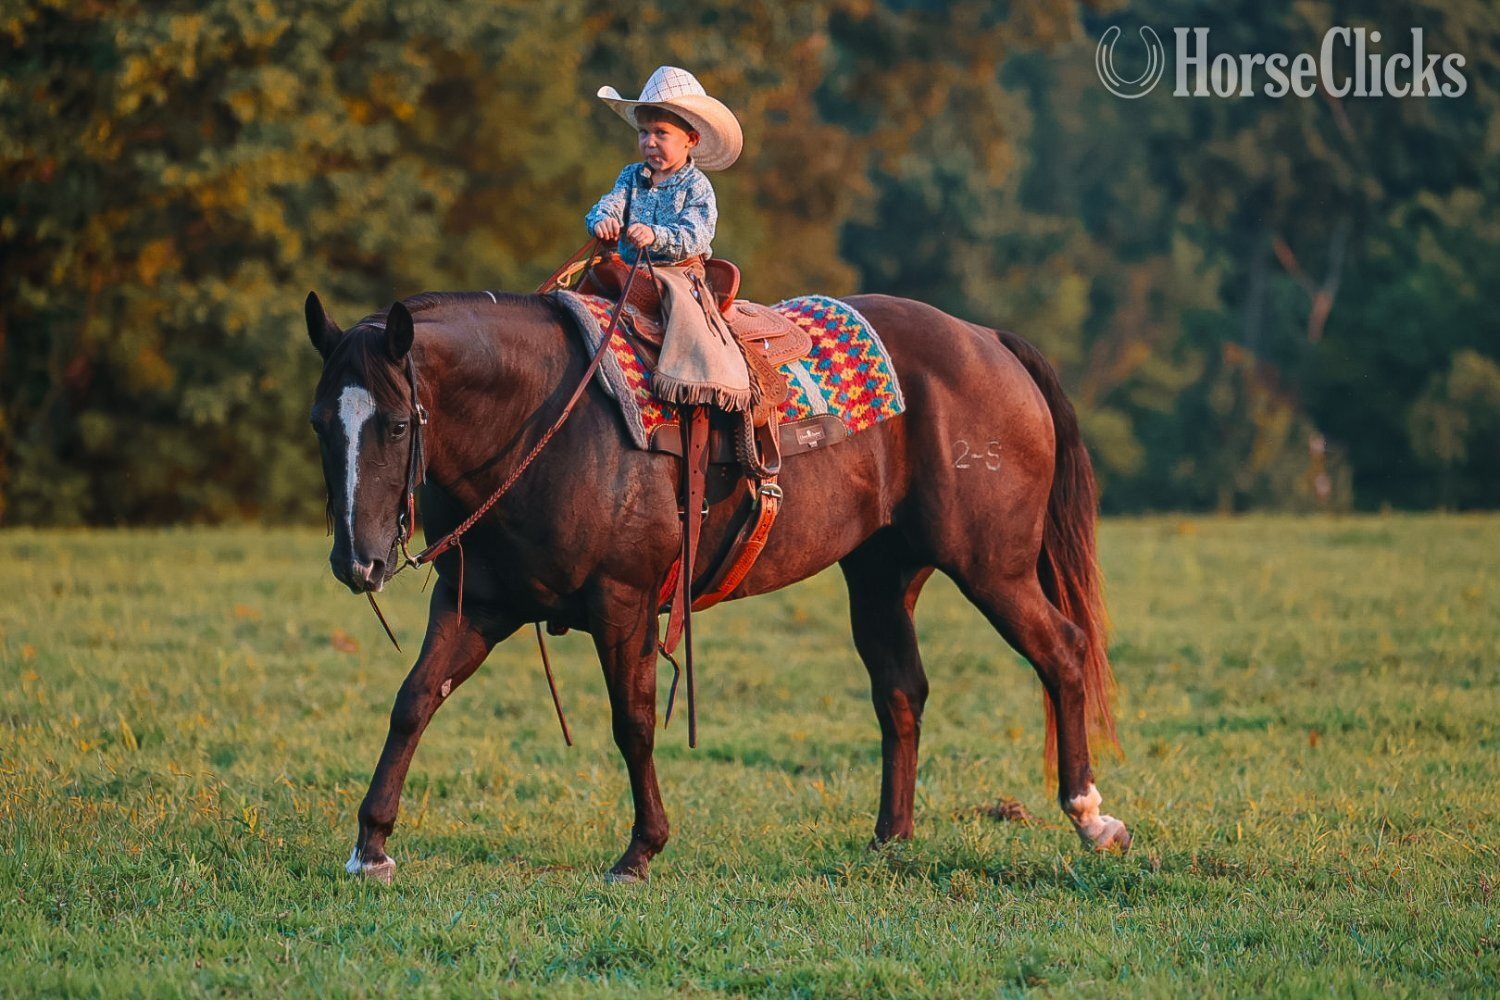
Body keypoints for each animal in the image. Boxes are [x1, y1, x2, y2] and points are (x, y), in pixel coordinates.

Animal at [305, 288, 1130, 882]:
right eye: (321, 423)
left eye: (397, 425)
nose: (357, 562)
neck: (541, 419)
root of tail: (988, 340)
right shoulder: (475, 604)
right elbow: (413, 702)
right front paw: (370, 846)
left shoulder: (624, 603)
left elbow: (632, 722)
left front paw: (641, 850)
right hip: (882, 575)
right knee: (901, 693)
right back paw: (889, 840)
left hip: (993, 567)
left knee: (1062, 651)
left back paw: (1091, 817)